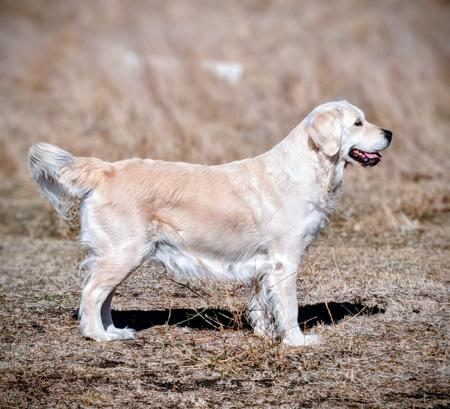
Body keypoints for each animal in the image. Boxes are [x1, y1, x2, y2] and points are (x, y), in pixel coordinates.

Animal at [28, 101, 392, 346]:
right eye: (358, 122)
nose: (389, 133)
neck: (306, 168)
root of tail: (106, 169)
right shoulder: (284, 260)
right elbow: (288, 307)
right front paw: (296, 341)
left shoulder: (262, 264)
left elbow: (262, 304)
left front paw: (263, 334)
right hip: (124, 252)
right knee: (91, 294)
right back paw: (98, 336)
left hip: (120, 255)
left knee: (103, 296)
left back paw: (114, 331)